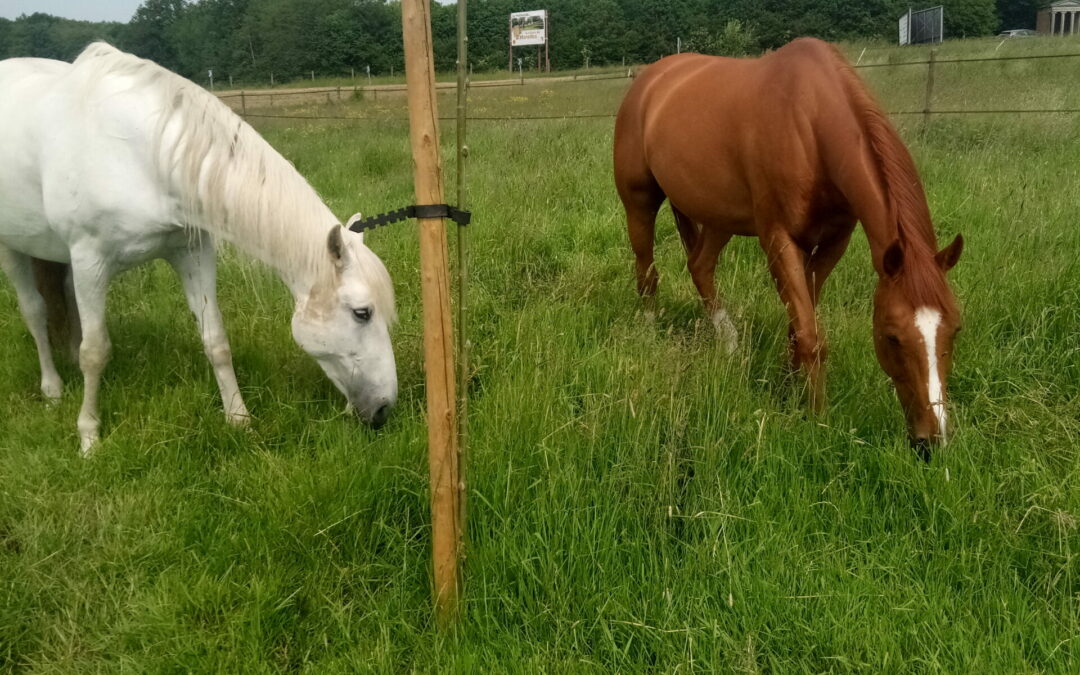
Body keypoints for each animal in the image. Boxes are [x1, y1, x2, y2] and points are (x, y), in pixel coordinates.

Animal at [0, 42, 397, 453]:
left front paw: (239, 420)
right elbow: (94, 352)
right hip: (14, 250)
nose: (383, 409)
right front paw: (89, 437)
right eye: (363, 313)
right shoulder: (90, 261)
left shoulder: (191, 254)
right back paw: (53, 390)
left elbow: (215, 340)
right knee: (35, 313)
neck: (137, 153)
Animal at [613, 38, 967, 457]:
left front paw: (787, 387)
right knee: (647, 269)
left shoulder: (832, 243)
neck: (810, 124)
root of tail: (650, 80)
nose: (932, 441)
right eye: (892, 336)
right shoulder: (779, 240)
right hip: (640, 202)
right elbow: (811, 335)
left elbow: (799, 325)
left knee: (700, 267)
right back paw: (650, 331)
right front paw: (816, 417)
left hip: (719, 218)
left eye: (955, 330)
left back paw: (730, 343)